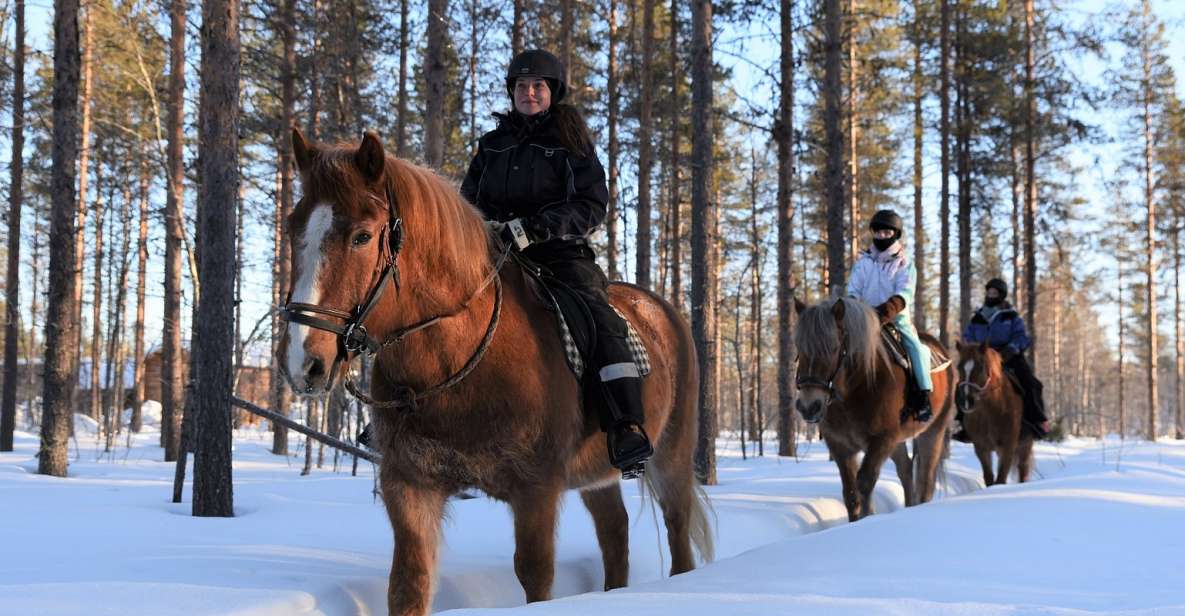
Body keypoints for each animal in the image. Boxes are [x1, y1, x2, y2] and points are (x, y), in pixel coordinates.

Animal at [274, 129, 710, 616]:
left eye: (362, 236)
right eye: (293, 228)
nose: (303, 363)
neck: (456, 363)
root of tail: (662, 311)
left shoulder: (536, 490)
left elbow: (535, 573)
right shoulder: (408, 485)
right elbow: (408, 583)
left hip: (671, 454)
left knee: (676, 529)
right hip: (599, 472)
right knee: (615, 532)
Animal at [796, 297, 952, 518]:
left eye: (834, 348)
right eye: (799, 347)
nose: (809, 406)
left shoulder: (881, 440)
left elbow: (864, 482)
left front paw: (868, 517)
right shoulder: (839, 445)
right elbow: (850, 494)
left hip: (932, 432)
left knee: (925, 481)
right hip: (898, 441)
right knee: (906, 470)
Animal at [947, 341, 1033, 485]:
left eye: (981, 367)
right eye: (959, 367)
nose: (966, 401)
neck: (990, 412)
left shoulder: (1007, 447)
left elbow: (1001, 479)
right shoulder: (981, 448)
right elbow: (989, 477)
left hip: (1024, 446)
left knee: (1023, 471)